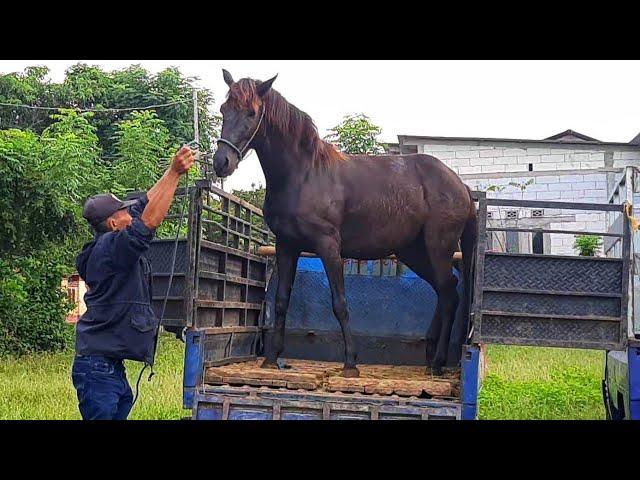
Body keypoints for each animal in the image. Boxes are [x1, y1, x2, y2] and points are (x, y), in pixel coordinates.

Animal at [212, 71, 478, 376]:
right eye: (224, 109)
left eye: (252, 112)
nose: (222, 162)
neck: (304, 174)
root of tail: (461, 186)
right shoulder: (286, 246)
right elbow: (280, 301)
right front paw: (271, 358)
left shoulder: (328, 246)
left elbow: (339, 303)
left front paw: (351, 362)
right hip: (415, 252)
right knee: (446, 290)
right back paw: (432, 353)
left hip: (438, 247)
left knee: (449, 294)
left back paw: (438, 362)